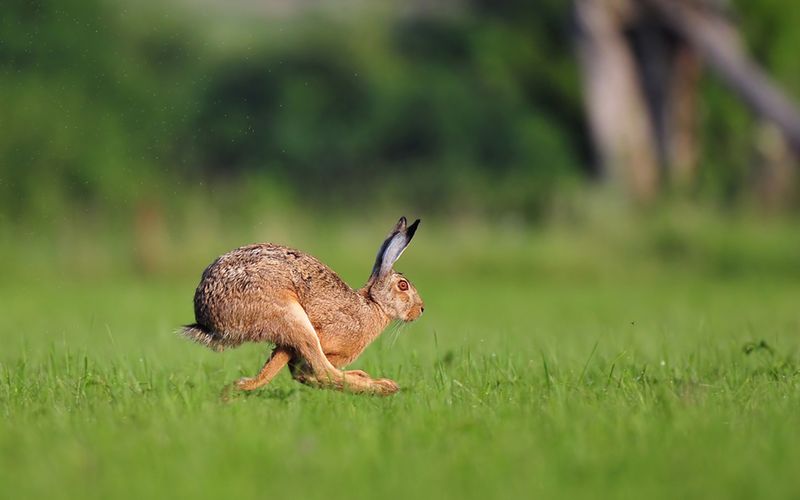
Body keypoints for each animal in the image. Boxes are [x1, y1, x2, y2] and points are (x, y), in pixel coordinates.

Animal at [181, 216, 424, 396]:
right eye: (403, 286)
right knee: (323, 370)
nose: (421, 309)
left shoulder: (288, 348)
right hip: (292, 317)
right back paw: (385, 386)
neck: (372, 304)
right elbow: (310, 371)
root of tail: (206, 317)